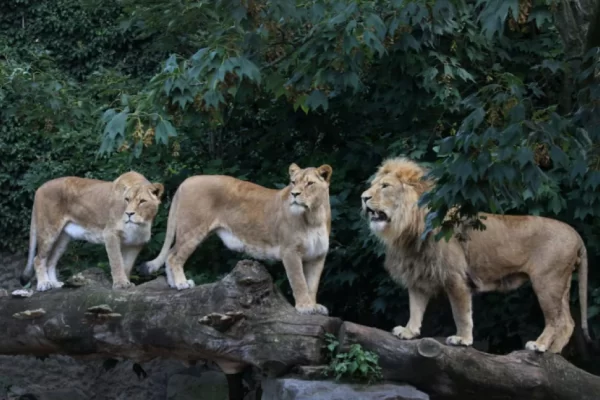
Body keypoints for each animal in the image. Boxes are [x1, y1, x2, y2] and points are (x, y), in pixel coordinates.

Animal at [20, 171, 164, 290]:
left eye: (142, 201)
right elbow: (116, 261)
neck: (141, 223)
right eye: (127, 199)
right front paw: (121, 284)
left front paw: (127, 283)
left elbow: (127, 265)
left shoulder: (136, 243)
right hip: (49, 231)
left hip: (63, 239)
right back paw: (44, 284)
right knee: (38, 259)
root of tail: (40, 187)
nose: (129, 214)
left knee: (50, 261)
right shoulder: (110, 234)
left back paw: (55, 284)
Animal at [137, 163, 332, 316]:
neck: (314, 216)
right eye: (293, 182)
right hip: (193, 231)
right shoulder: (290, 251)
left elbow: (312, 284)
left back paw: (173, 284)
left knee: (171, 253)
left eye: (310, 183)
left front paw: (314, 306)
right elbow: (299, 281)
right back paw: (182, 283)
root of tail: (186, 181)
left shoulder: (318, 256)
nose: (294, 194)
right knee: (174, 257)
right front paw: (305, 307)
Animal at [360, 157, 592, 354]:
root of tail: (576, 234)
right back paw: (553, 353)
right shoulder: (418, 273)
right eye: (374, 184)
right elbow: (415, 307)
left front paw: (462, 339)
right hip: (561, 284)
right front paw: (409, 332)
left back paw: (539, 345)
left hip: (547, 282)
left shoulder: (455, 277)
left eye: (385, 186)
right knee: (568, 322)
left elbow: (461, 312)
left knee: (556, 320)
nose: (363, 197)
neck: (409, 228)